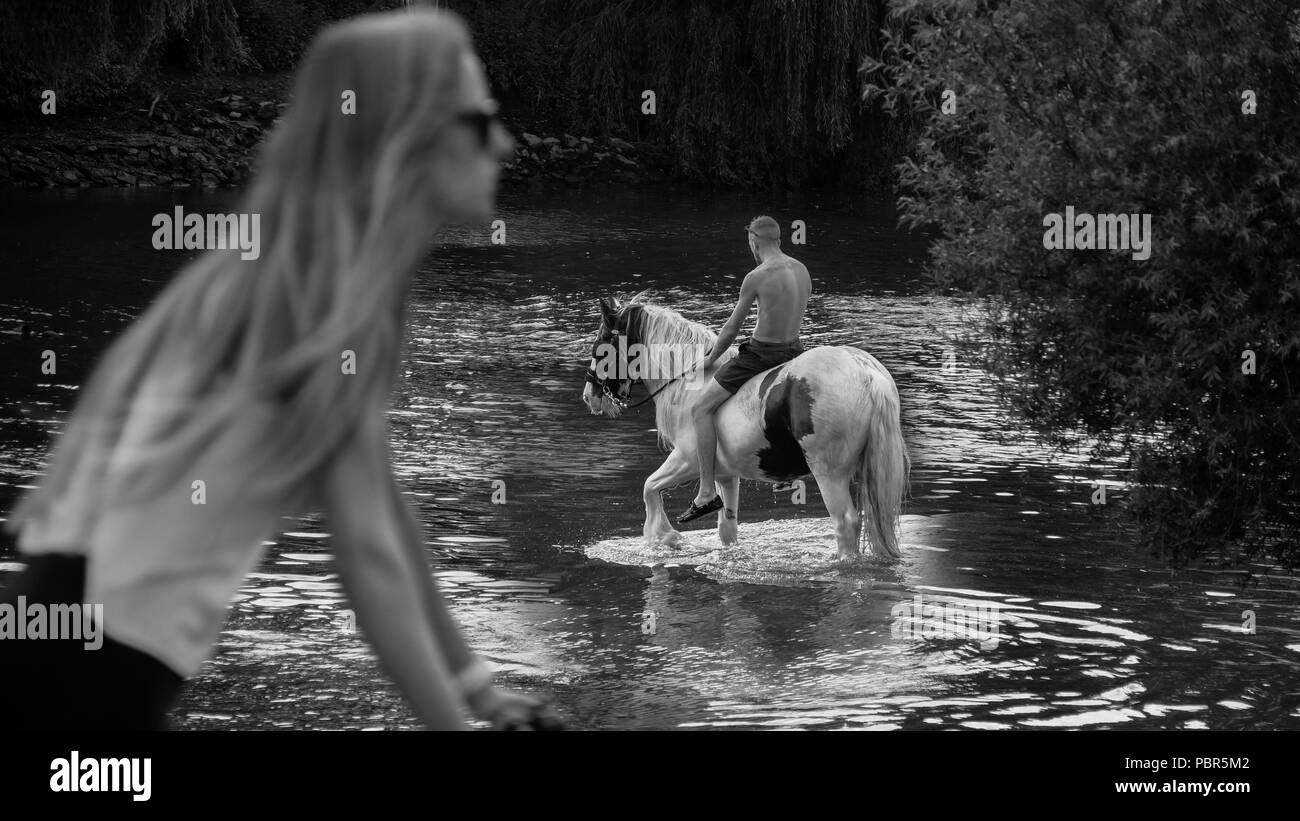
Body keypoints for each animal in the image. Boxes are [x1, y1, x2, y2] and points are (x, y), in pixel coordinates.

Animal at [585, 298, 909, 561]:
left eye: (601, 346)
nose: (590, 396)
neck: (689, 380)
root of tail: (865, 372)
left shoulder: (687, 459)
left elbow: (649, 487)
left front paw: (664, 537)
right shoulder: (725, 475)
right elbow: (727, 528)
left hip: (829, 473)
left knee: (845, 523)